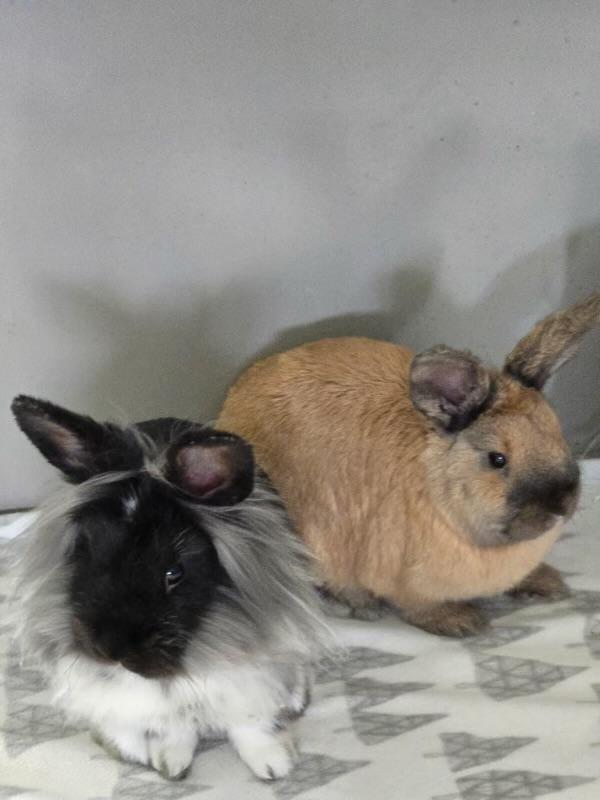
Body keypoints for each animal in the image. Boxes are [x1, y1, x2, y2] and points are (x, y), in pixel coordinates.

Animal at [7, 396, 331, 781]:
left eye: (173, 573)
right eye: (87, 551)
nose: (112, 649)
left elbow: (247, 717)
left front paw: (272, 764)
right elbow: (169, 717)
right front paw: (170, 761)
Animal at [217, 292, 600, 637]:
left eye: (557, 433)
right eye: (497, 459)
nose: (560, 505)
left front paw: (548, 584)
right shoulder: (400, 575)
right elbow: (419, 606)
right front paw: (461, 622)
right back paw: (357, 604)